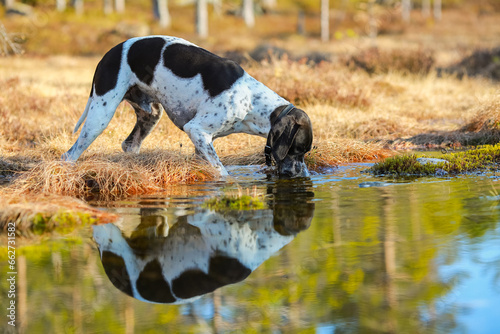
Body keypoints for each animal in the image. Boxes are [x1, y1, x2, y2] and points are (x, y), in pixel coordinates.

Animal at [62, 36, 312, 177]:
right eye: (297, 150)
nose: (303, 175)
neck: (250, 99)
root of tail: (107, 54)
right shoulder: (197, 130)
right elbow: (222, 172)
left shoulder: (203, 143)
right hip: (100, 116)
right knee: (70, 154)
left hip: (150, 116)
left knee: (129, 144)